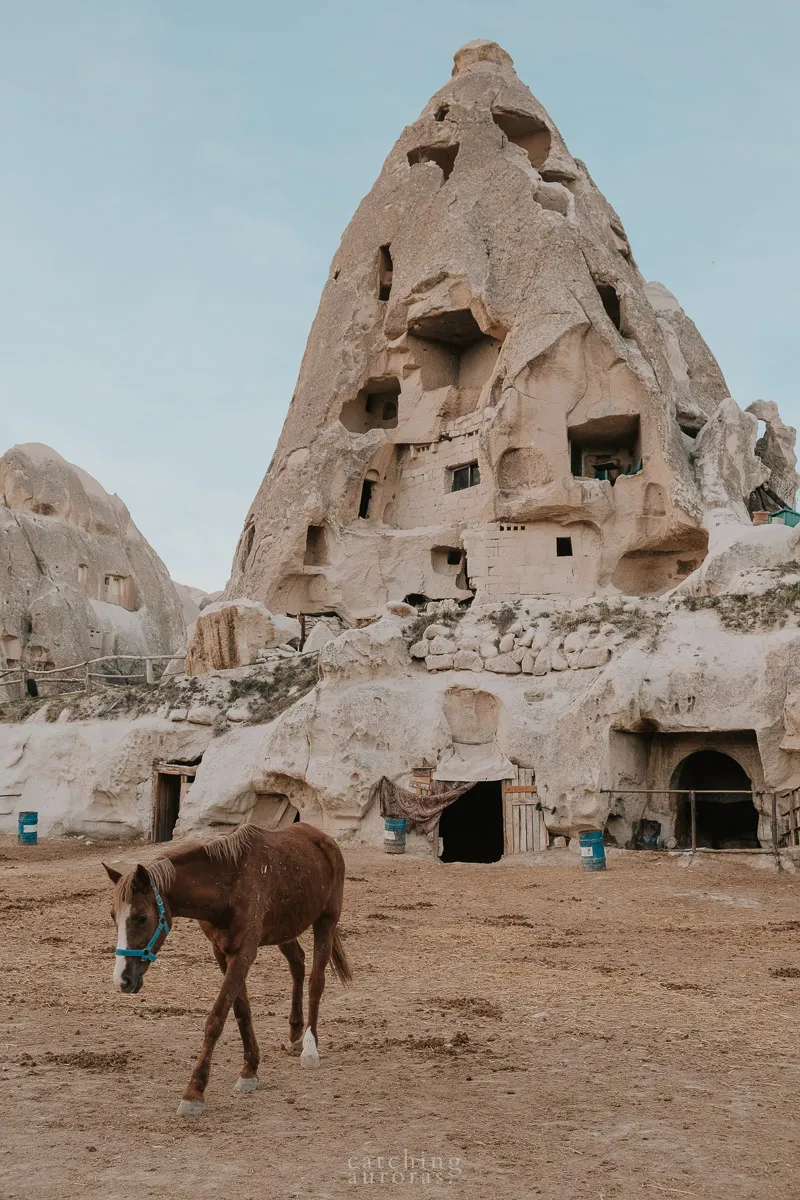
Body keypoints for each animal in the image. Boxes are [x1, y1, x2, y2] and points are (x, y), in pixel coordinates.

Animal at [102, 821, 352, 1116]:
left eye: (142, 917)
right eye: (114, 916)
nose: (123, 979)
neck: (228, 885)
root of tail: (323, 839)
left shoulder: (243, 954)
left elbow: (217, 1018)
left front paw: (195, 1091)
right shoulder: (222, 953)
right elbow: (241, 1010)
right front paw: (250, 1070)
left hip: (325, 921)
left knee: (315, 982)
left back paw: (310, 1047)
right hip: (286, 929)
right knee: (298, 965)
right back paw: (294, 1033)